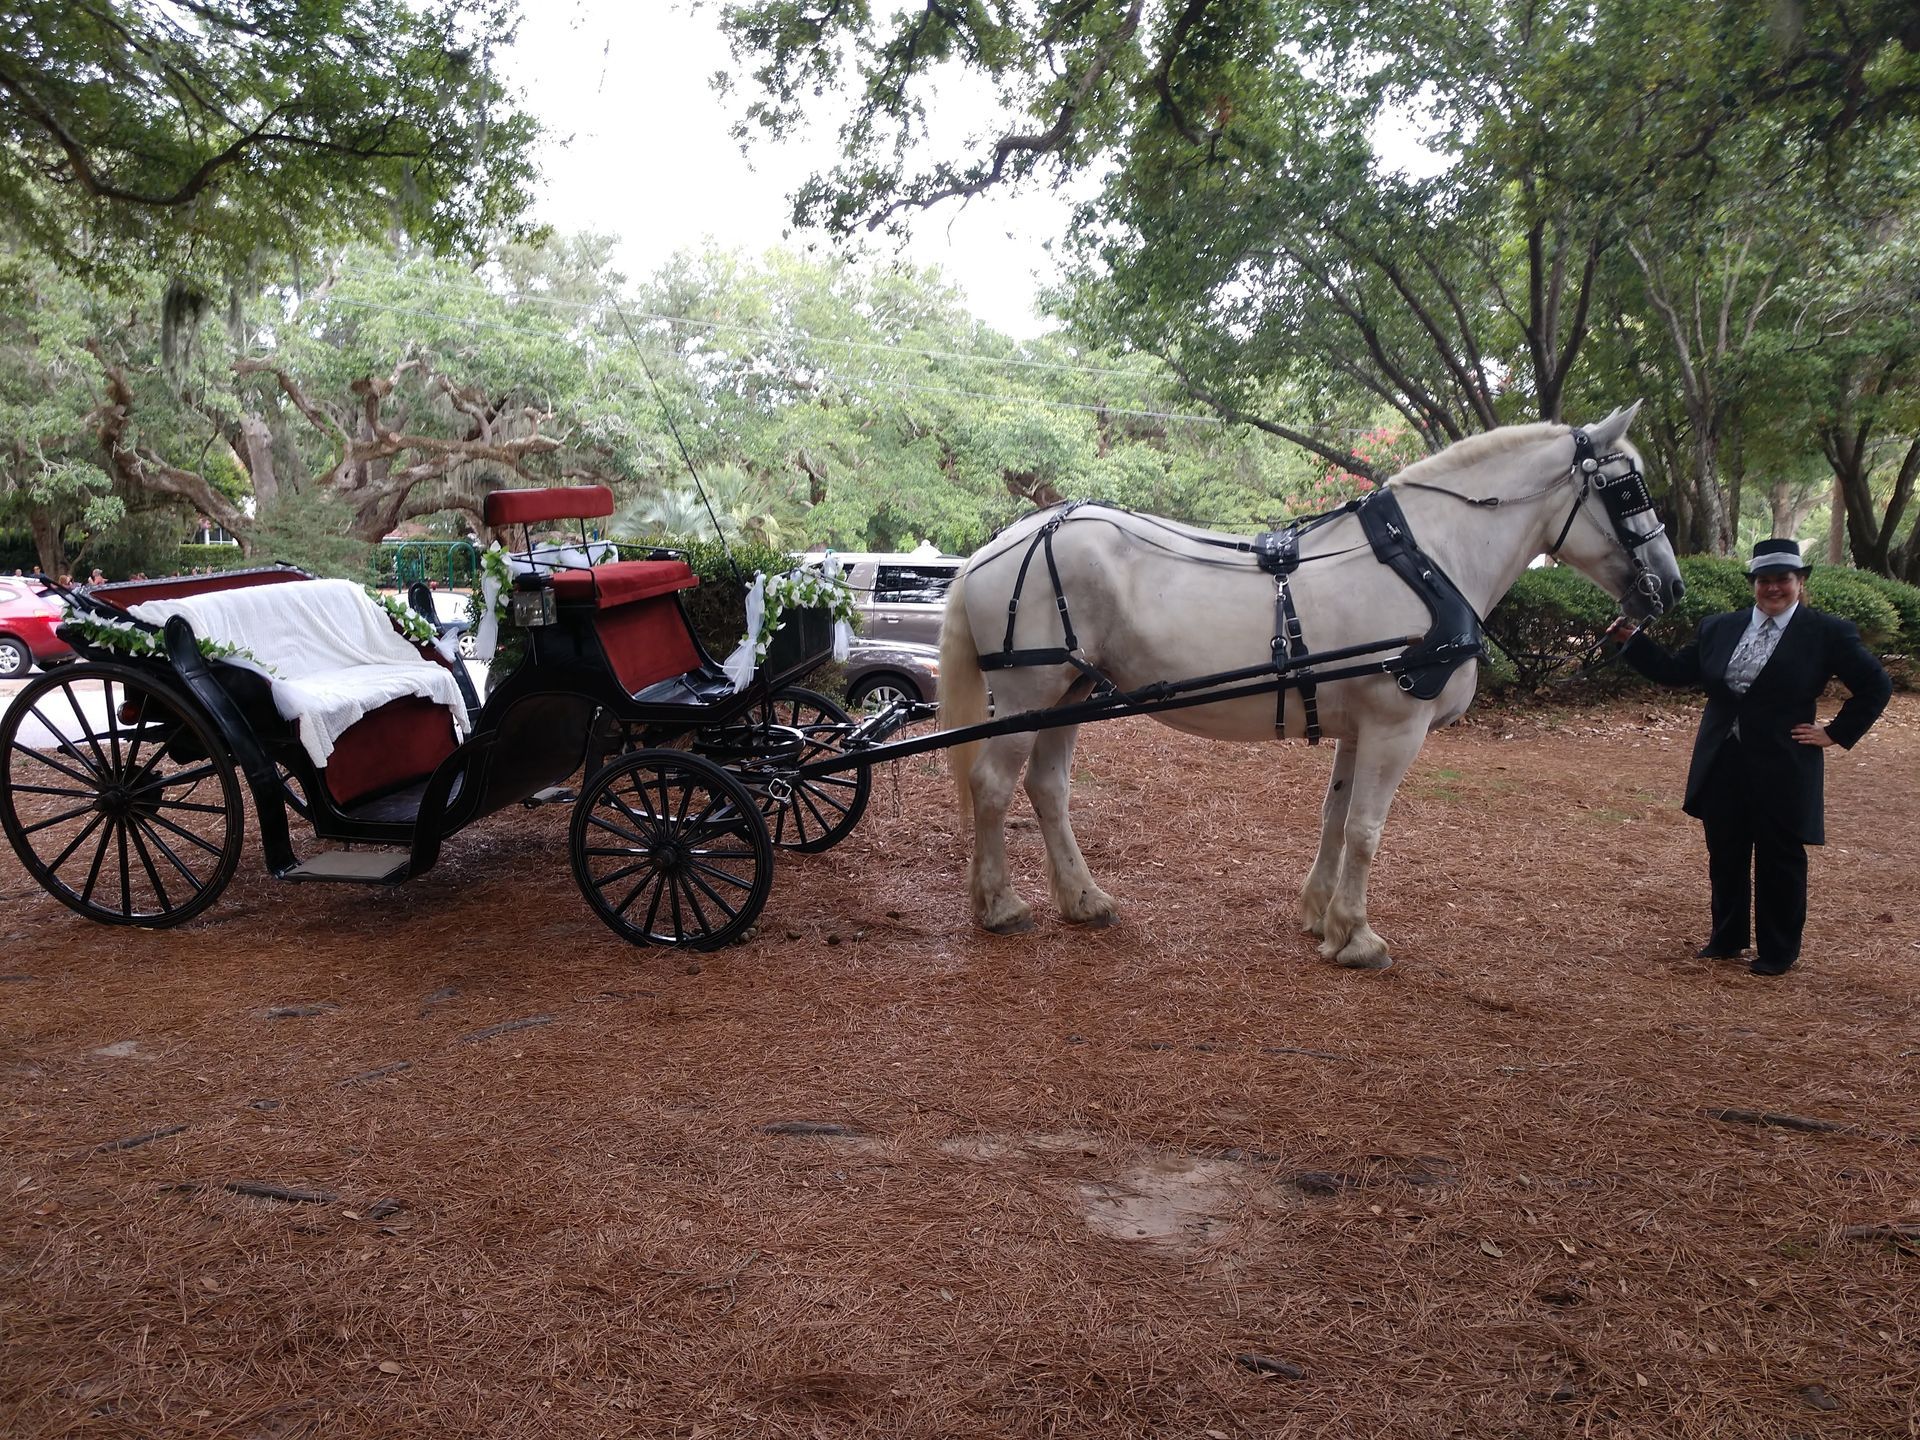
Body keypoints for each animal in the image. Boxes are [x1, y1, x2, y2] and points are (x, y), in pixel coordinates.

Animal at [936, 404, 1685, 970]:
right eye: (1628, 488)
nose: (1671, 586)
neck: (1424, 561)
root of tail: (1001, 542)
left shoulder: (1361, 728)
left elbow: (1335, 817)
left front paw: (1320, 916)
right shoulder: (1396, 726)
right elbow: (1367, 828)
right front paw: (1357, 936)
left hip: (1071, 694)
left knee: (1048, 788)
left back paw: (1083, 899)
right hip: (1029, 691)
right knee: (993, 787)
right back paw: (999, 905)